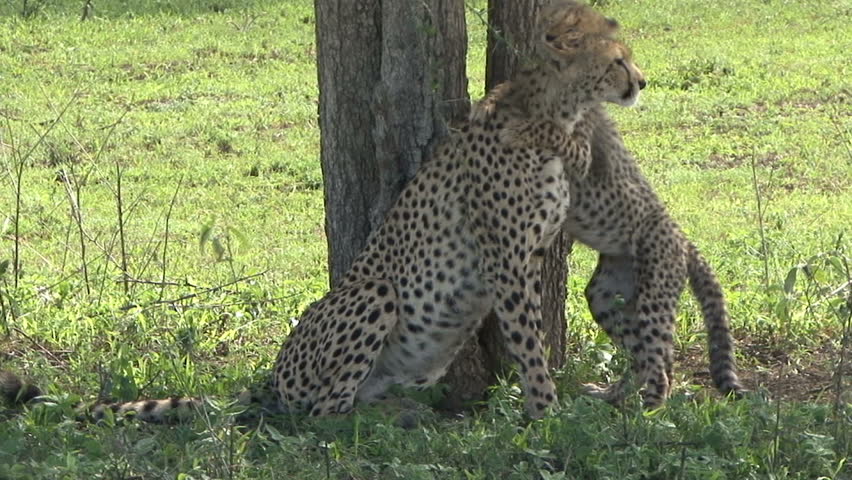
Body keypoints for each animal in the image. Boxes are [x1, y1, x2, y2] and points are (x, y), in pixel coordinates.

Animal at [1, 1, 643, 421]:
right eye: (617, 61)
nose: (640, 81)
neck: (557, 114)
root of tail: (271, 378)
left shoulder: (530, 254)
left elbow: (533, 332)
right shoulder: (505, 258)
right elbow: (529, 344)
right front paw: (547, 412)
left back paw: (402, 413)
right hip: (373, 294)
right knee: (321, 413)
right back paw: (378, 422)